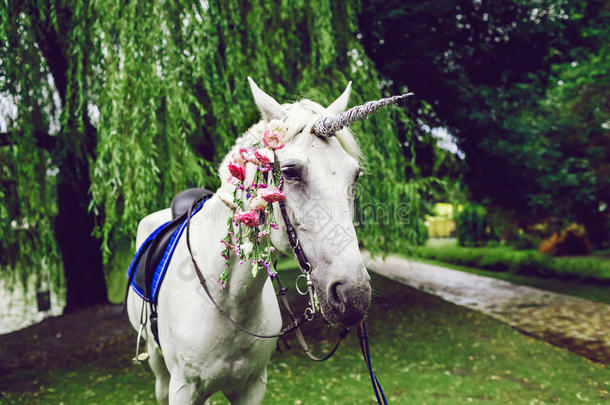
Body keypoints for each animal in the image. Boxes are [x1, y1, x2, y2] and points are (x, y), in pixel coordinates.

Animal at [126, 77, 406, 402]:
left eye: (356, 175)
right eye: (291, 172)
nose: (354, 296)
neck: (229, 303)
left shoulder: (252, 386)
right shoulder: (182, 389)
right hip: (160, 372)